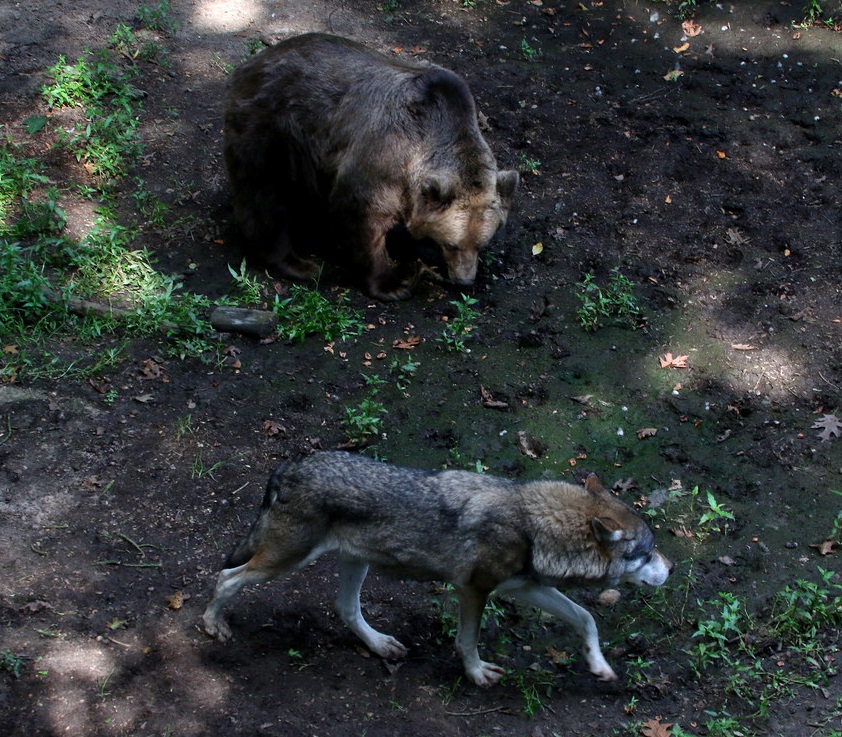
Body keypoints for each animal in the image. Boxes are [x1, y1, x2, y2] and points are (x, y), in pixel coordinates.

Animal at [202, 452, 668, 688]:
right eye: (649, 553)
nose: (672, 566)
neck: (533, 523)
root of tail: (288, 466)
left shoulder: (524, 588)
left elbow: (586, 617)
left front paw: (598, 666)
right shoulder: (474, 590)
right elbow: (468, 641)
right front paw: (477, 675)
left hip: (354, 564)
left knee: (346, 609)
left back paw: (382, 645)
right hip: (286, 561)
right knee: (226, 577)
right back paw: (212, 624)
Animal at [220, 33, 516, 300]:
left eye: (481, 244)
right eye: (452, 244)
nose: (464, 280)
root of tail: (251, 63)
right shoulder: (384, 154)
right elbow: (362, 213)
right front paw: (393, 284)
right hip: (274, 130)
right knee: (264, 194)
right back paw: (299, 264)